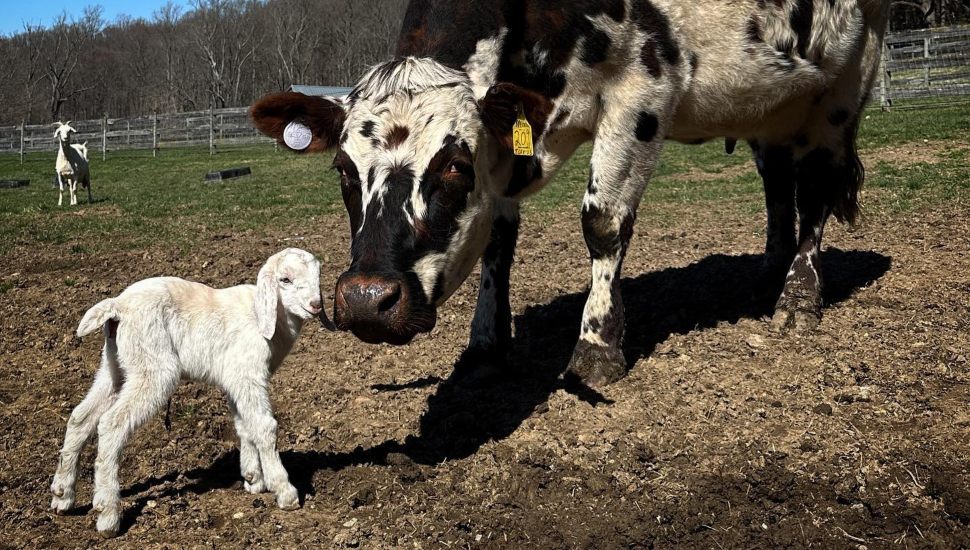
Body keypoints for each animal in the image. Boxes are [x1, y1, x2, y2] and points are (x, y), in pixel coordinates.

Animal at [49, 250, 332, 540]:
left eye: (317, 275)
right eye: (284, 279)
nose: (316, 304)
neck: (263, 316)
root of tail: (118, 306)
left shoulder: (235, 380)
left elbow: (244, 425)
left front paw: (253, 478)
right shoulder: (249, 374)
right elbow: (265, 427)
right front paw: (284, 491)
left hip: (115, 364)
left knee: (81, 417)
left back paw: (62, 495)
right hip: (153, 367)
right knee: (111, 423)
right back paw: (108, 515)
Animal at [253, 0, 888, 388]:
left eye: (456, 166)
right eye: (342, 169)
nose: (366, 300)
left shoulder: (642, 93)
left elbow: (603, 222)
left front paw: (597, 344)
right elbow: (499, 241)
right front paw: (485, 344)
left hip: (844, 84)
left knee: (816, 192)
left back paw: (798, 296)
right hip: (768, 103)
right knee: (778, 182)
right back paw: (769, 272)